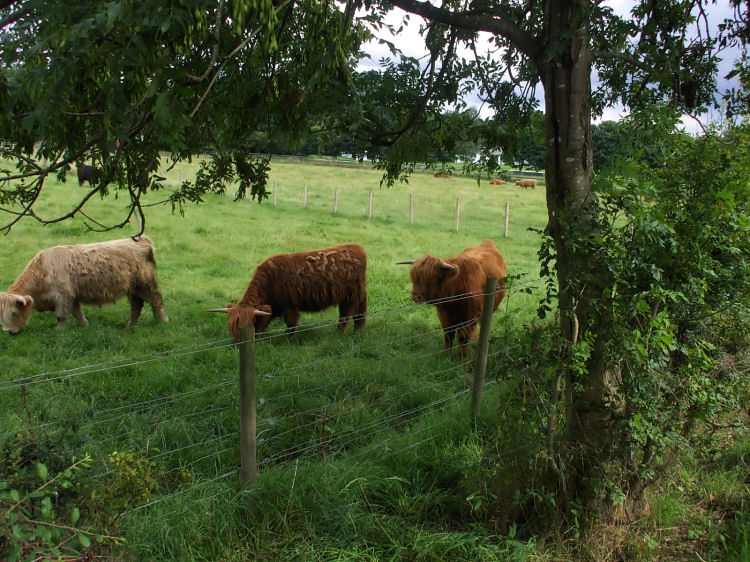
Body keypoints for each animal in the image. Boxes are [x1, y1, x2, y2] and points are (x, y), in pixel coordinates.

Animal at [0, 236, 169, 333]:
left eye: (13, 313)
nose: (9, 331)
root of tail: (142, 239)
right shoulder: (72, 296)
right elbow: (77, 312)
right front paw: (85, 325)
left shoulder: (63, 296)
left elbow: (62, 316)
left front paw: (58, 331)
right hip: (132, 288)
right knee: (137, 305)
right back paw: (131, 325)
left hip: (145, 283)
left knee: (156, 301)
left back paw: (164, 321)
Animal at [210, 244, 367, 341]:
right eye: (231, 327)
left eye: (250, 323)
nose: (238, 346)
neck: (270, 281)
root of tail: (357, 247)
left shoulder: (289, 306)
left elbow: (291, 324)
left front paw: (290, 340)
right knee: (357, 315)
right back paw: (357, 331)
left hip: (350, 296)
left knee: (345, 316)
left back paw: (338, 334)